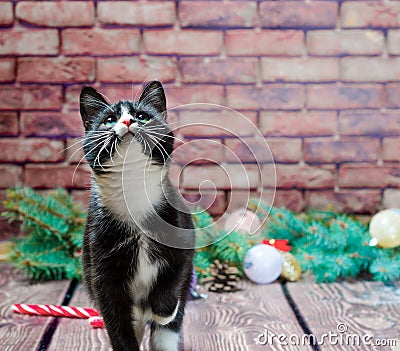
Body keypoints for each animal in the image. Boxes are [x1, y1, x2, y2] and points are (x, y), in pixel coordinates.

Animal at [79, 80, 194, 351]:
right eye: (109, 119)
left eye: (142, 116)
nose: (128, 121)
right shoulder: (100, 265)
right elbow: (116, 321)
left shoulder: (184, 234)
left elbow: (175, 274)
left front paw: (163, 310)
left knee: (167, 332)